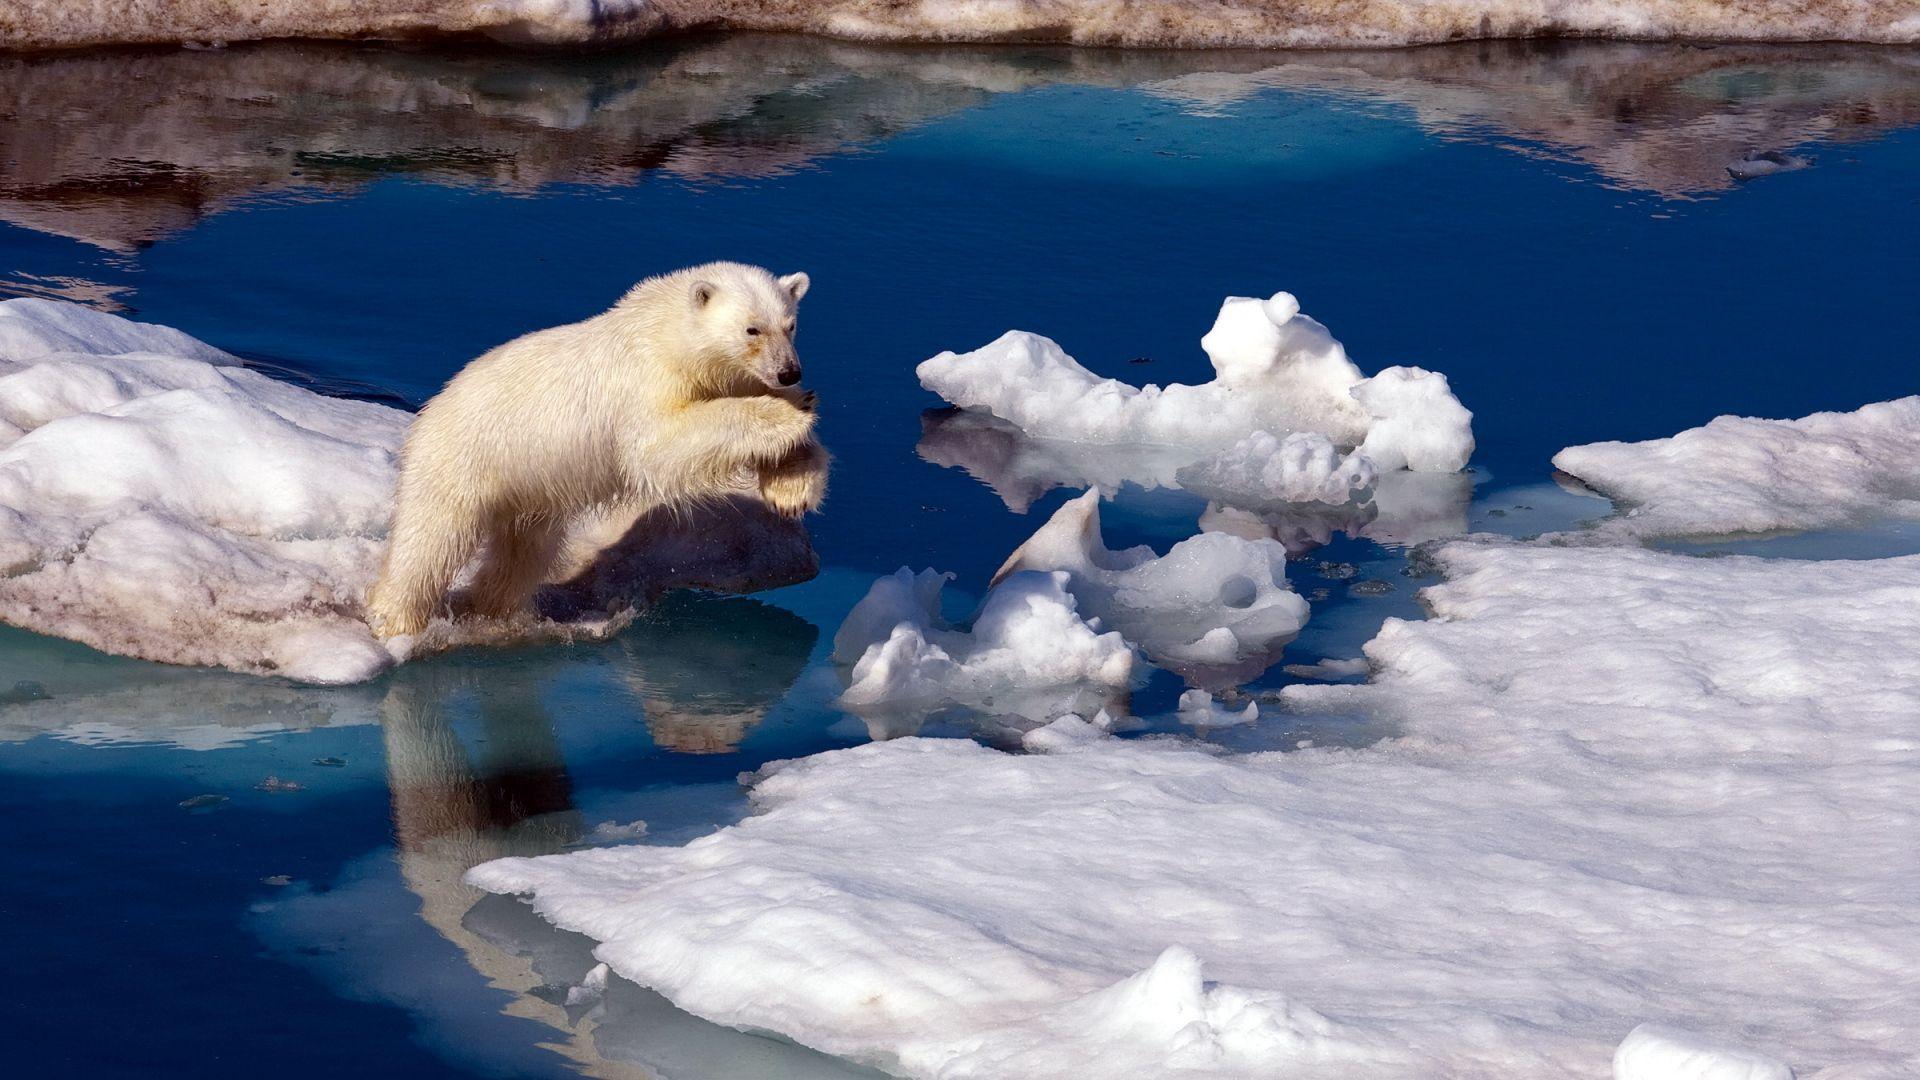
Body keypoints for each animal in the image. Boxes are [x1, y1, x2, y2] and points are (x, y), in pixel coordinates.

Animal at [366, 261, 825, 634]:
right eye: (752, 329)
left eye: (790, 325)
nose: (789, 371)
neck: (664, 331)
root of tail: (431, 410)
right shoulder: (646, 379)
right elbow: (661, 446)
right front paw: (788, 414)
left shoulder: (729, 377)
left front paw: (791, 489)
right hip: (462, 459)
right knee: (430, 540)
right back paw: (395, 619)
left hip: (529, 488)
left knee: (524, 550)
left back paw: (492, 607)